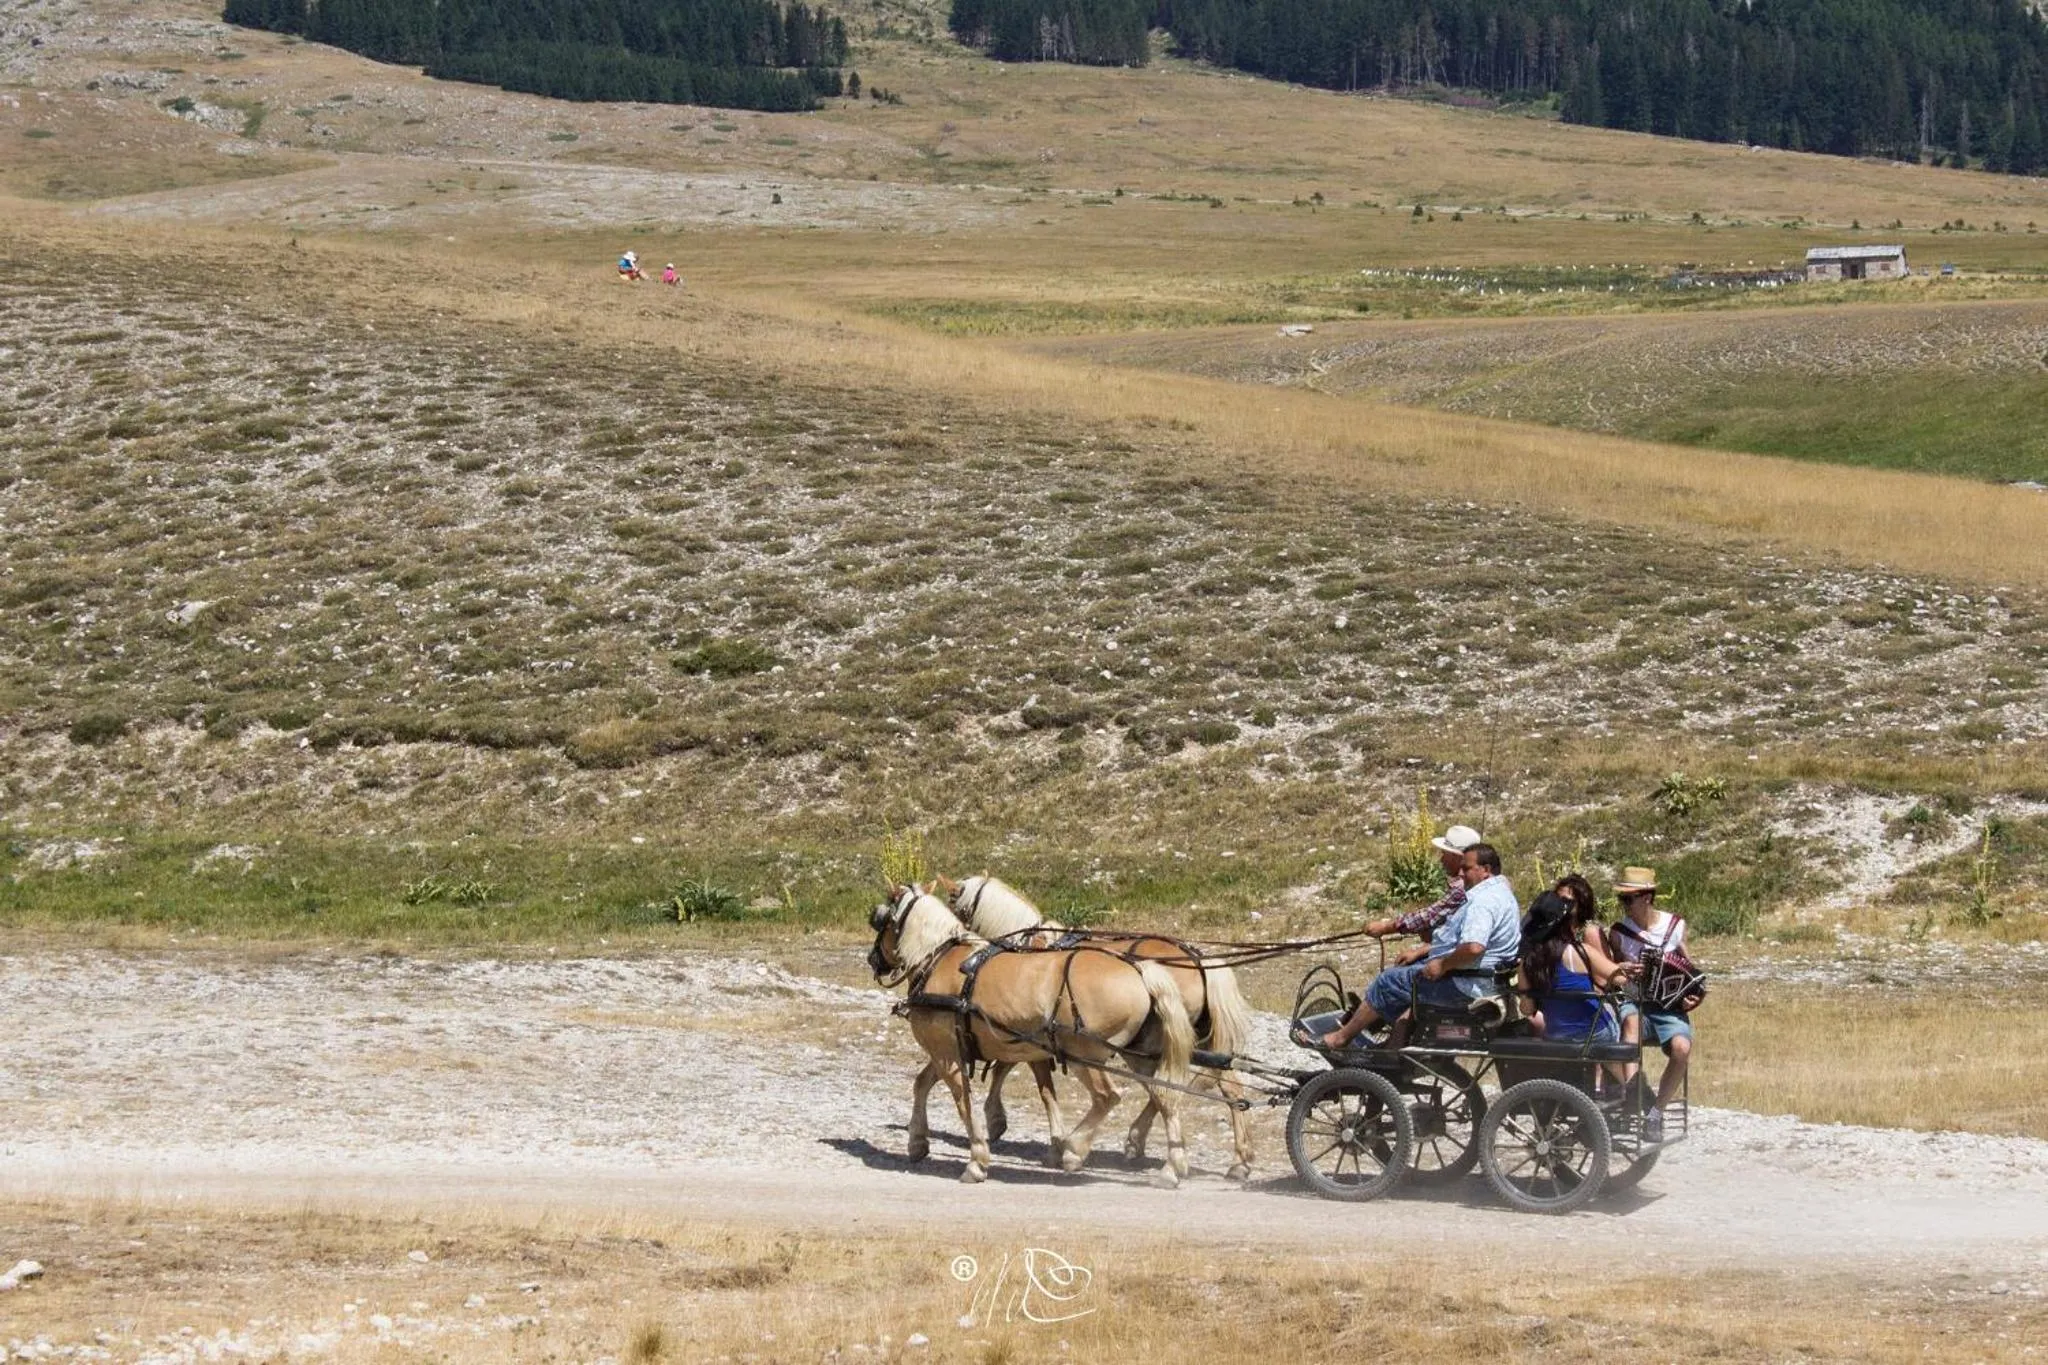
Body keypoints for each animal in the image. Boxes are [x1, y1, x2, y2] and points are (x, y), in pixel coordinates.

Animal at [867, 884, 1195, 1185]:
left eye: (879, 920)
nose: (872, 959)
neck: (936, 959)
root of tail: (1140, 970)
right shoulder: (949, 1050)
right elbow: (922, 1084)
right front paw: (917, 1142)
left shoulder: (947, 1054)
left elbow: (963, 1103)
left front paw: (976, 1160)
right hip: (1138, 1055)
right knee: (1165, 1095)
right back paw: (1171, 1167)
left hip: (1083, 1055)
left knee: (1108, 1097)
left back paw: (1075, 1150)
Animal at [941, 874, 1257, 1181]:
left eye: (956, 908)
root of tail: (1197, 959)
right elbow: (1006, 1068)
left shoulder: (1030, 1036)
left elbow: (1034, 1083)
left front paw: (1008, 1124)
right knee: (1220, 1086)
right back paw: (1236, 1161)